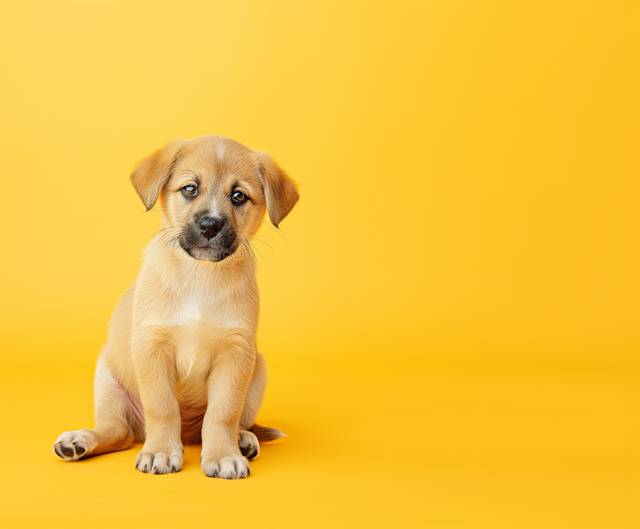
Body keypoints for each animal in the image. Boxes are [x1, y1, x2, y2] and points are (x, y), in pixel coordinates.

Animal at [52, 133, 298, 478]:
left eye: (239, 196)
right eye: (190, 189)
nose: (210, 225)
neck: (200, 276)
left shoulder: (236, 353)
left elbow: (222, 413)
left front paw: (223, 455)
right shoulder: (152, 346)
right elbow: (162, 407)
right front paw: (160, 451)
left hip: (258, 369)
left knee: (229, 423)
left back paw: (242, 440)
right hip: (107, 379)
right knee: (118, 432)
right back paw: (81, 440)